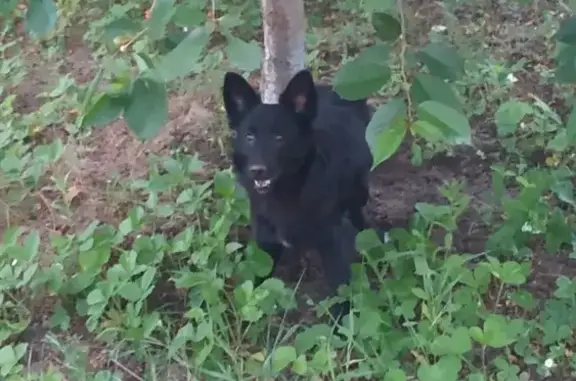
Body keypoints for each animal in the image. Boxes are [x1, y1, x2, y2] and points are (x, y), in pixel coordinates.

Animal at [220, 69, 374, 324]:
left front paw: (343, 326)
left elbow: (340, 288)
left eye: (279, 138)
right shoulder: (266, 239)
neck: (287, 193)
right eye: (249, 137)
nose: (257, 170)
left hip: (357, 192)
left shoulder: (332, 242)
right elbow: (258, 278)